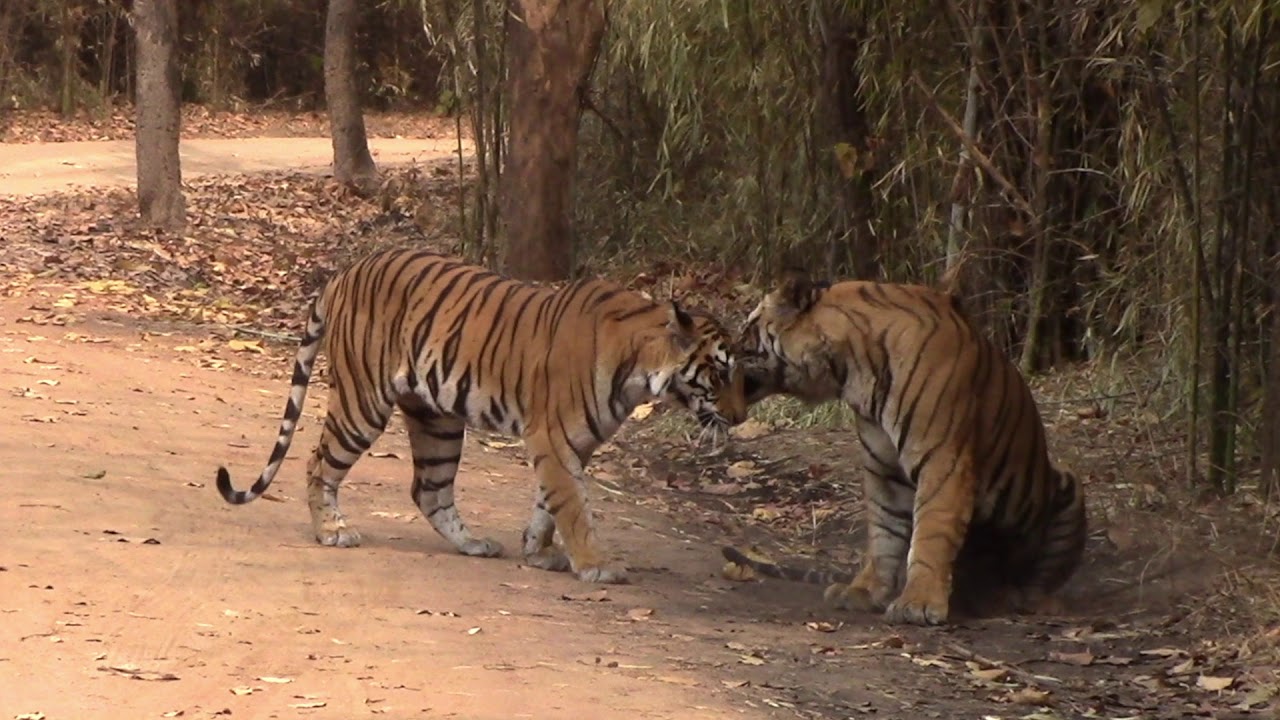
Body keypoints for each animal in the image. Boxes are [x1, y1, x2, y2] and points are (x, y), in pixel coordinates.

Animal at [215, 248, 746, 585]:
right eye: (720, 373)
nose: (741, 418)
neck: (639, 369)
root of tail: (344, 273)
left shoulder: (572, 445)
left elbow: (549, 504)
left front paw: (538, 551)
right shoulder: (552, 437)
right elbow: (573, 506)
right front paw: (596, 563)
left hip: (438, 421)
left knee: (428, 490)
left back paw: (472, 544)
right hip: (362, 402)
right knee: (318, 462)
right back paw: (332, 531)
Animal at [724, 273, 1087, 625]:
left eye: (746, 332)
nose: (723, 355)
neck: (852, 370)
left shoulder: (944, 460)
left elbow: (930, 533)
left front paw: (919, 603)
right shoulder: (884, 468)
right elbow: (883, 531)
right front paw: (865, 590)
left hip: (1065, 483)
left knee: (1040, 579)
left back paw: (1026, 601)